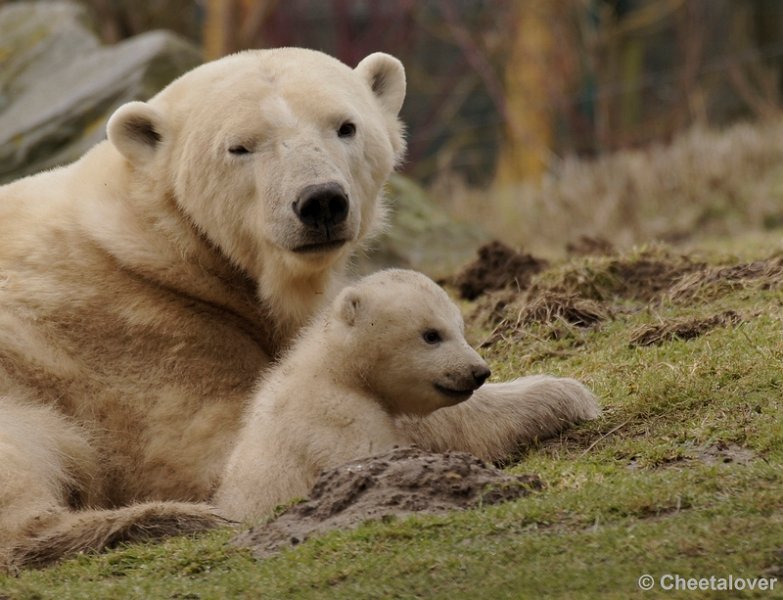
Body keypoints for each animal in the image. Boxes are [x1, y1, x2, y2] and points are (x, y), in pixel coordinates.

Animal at [0, 48, 600, 568]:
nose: (321, 201)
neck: (157, 243)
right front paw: (561, 393)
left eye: (345, 126)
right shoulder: (141, 338)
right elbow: (234, 445)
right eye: (240, 147)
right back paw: (161, 520)